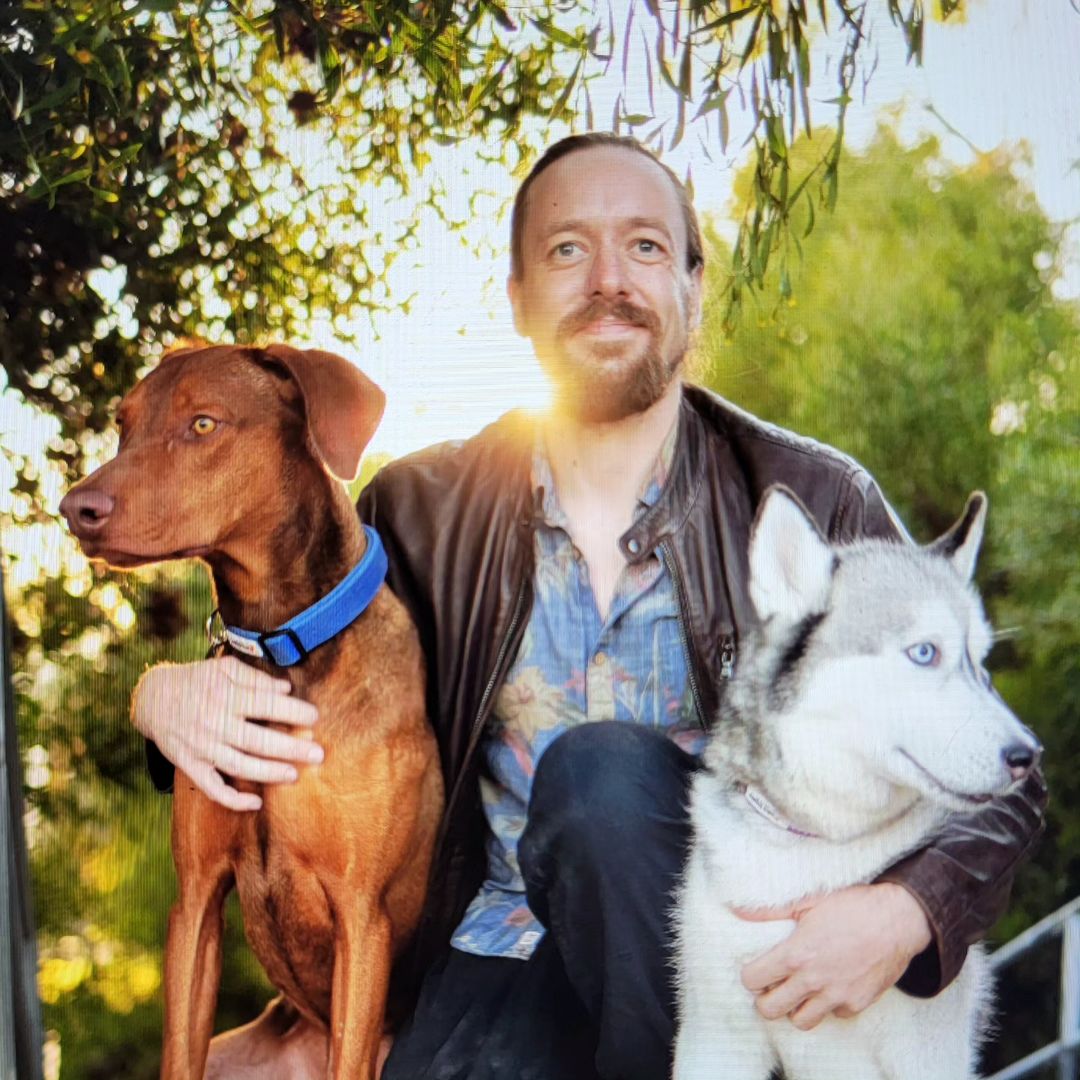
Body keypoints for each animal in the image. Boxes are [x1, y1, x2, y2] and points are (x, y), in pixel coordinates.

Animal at [56, 347, 444, 1080]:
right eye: (123, 424)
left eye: (204, 424)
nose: (74, 509)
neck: (277, 647)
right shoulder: (197, 898)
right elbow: (178, 1050)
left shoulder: (363, 916)